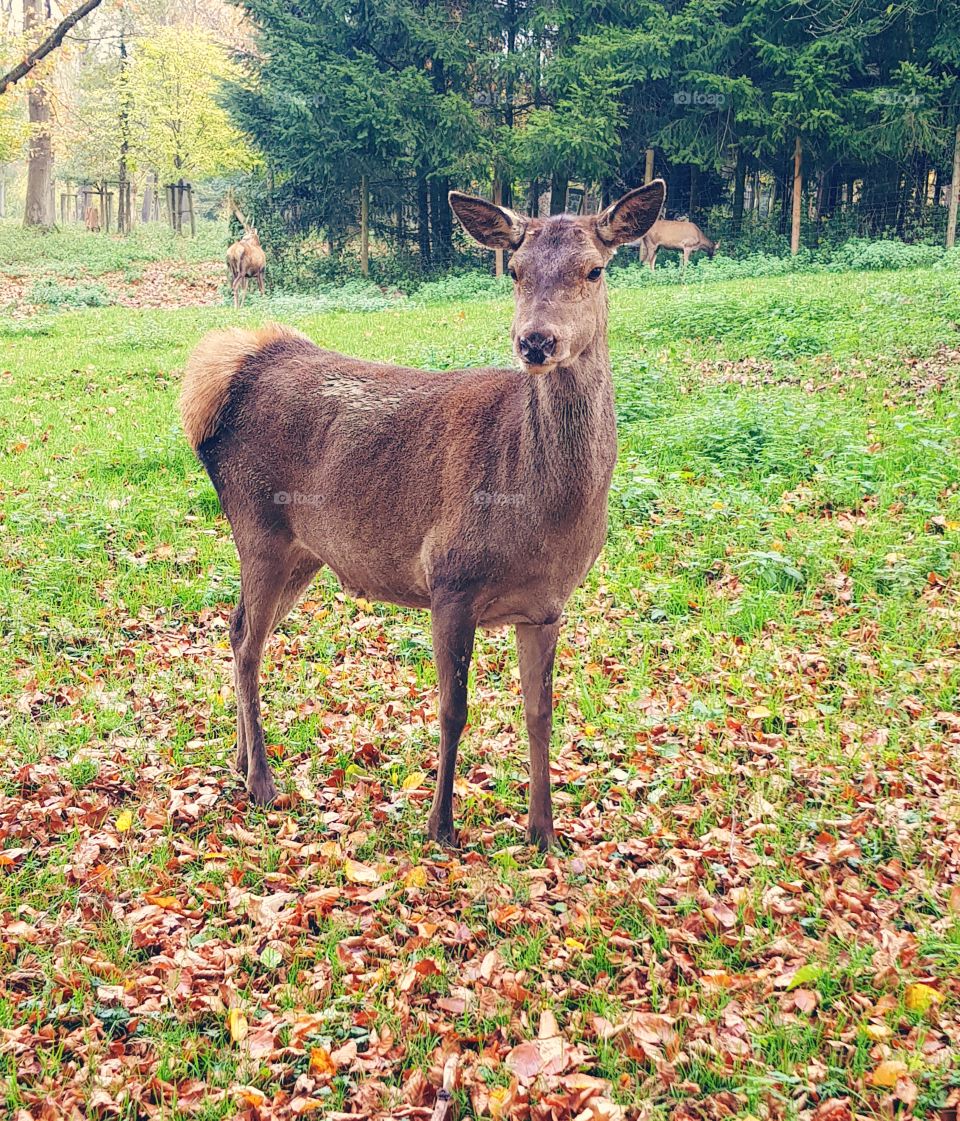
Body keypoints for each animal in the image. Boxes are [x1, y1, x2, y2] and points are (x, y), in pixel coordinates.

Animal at [179, 179, 666, 850]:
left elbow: (540, 712)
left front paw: (542, 830)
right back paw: (261, 781)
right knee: (250, 644)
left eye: (594, 270)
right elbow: (452, 708)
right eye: (514, 270)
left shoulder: (547, 606)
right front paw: (441, 825)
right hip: (256, 523)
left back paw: (237, 757)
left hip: (304, 551)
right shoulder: (449, 578)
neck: (544, 515)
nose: (536, 342)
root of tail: (220, 378)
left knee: (235, 629)